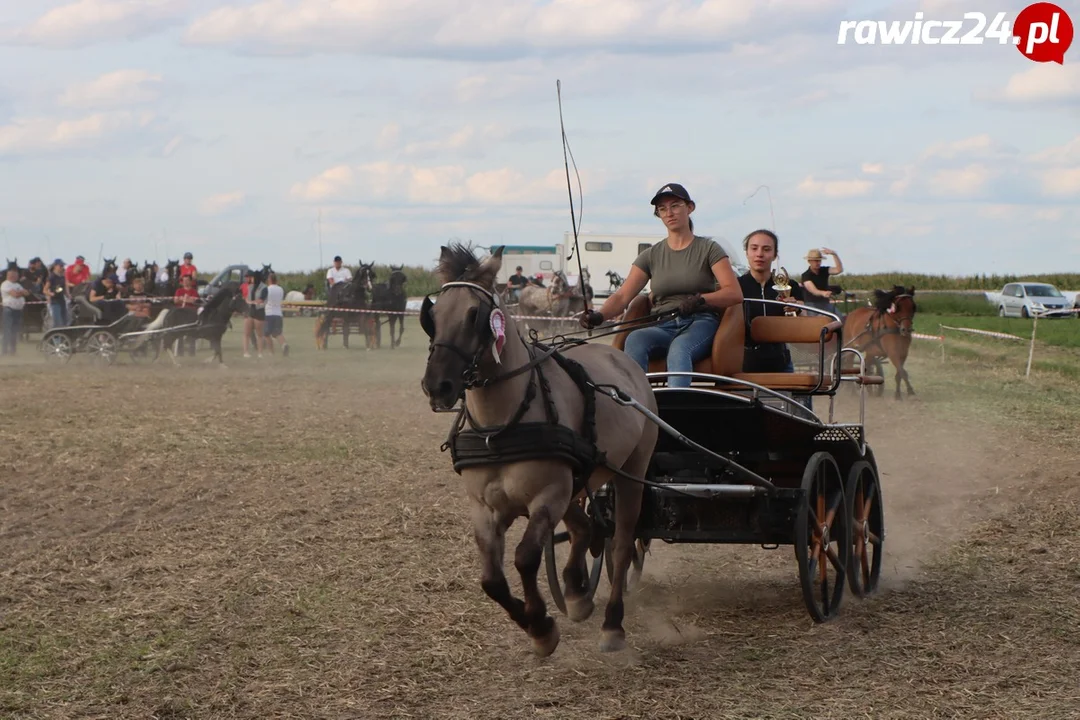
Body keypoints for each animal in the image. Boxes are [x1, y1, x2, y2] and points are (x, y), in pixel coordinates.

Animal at [419, 243, 656, 660]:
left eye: (474, 314)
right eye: (432, 314)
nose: (437, 386)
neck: (499, 429)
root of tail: (625, 362)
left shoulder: (547, 497)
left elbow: (525, 558)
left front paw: (543, 627)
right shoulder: (485, 508)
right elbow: (491, 580)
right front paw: (539, 622)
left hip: (632, 473)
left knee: (622, 544)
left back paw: (612, 623)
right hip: (580, 481)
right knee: (586, 528)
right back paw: (577, 591)